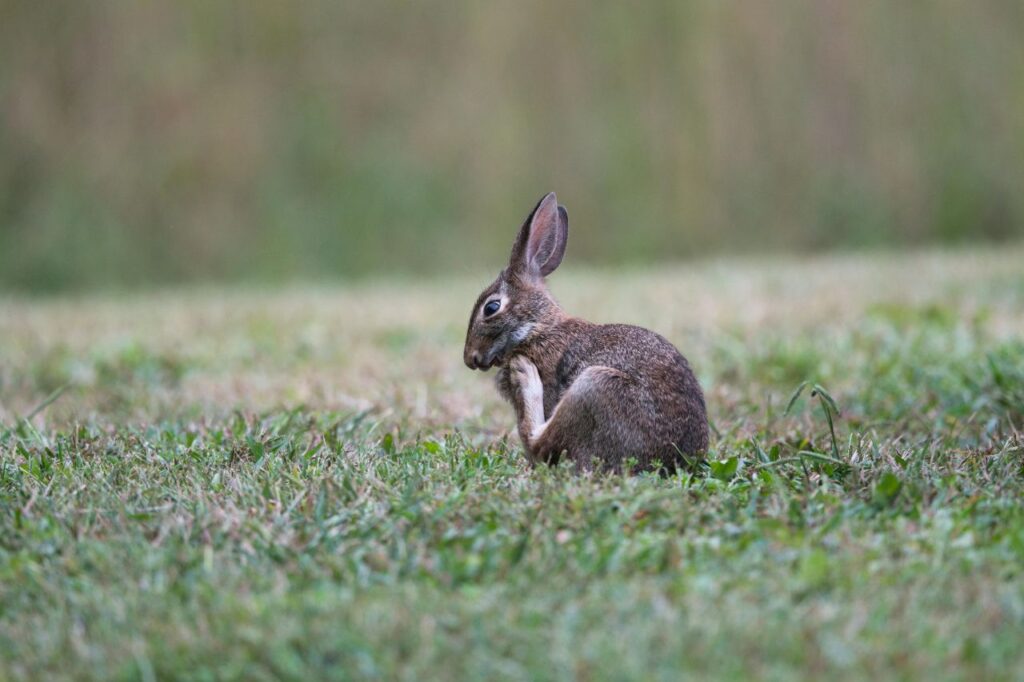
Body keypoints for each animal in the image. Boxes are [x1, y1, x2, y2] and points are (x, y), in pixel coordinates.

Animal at [463, 191, 708, 473]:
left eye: (491, 308)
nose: (469, 358)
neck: (538, 328)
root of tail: (674, 462)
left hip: (593, 387)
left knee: (538, 443)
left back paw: (524, 374)